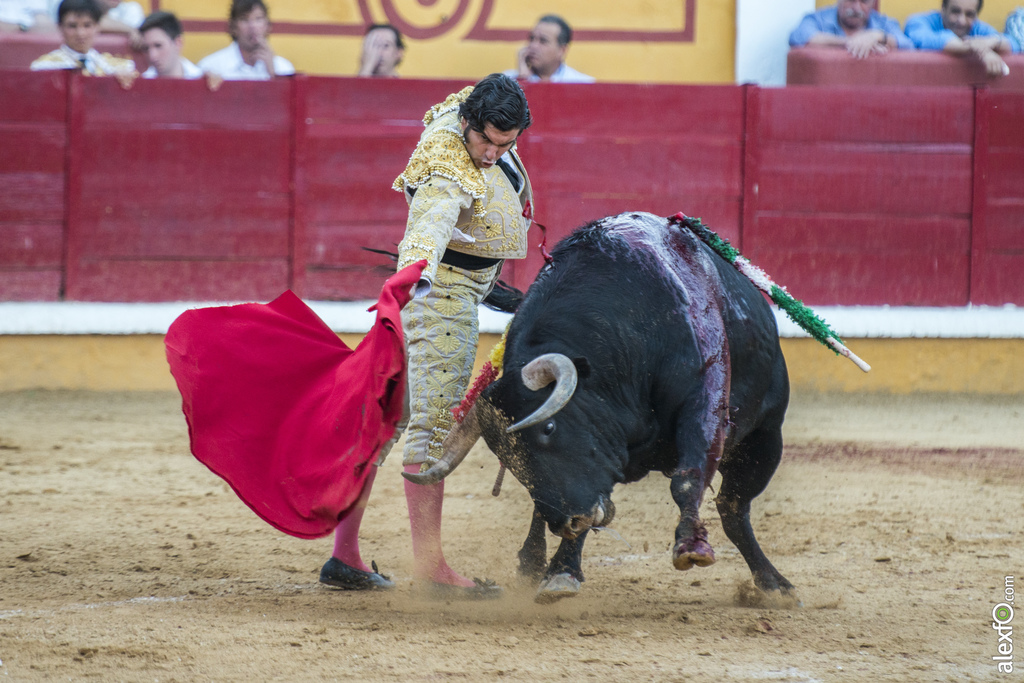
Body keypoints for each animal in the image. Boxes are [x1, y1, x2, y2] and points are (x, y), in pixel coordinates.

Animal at [403, 210, 794, 602]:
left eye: (548, 428)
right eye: (506, 457)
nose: (567, 522)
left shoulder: (705, 401)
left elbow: (688, 478)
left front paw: (691, 546)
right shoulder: (592, 468)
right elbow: (590, 501)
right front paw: (561, 572)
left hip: (765, 438)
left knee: (733, 507)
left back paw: (774, 583)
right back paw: (532, 560)